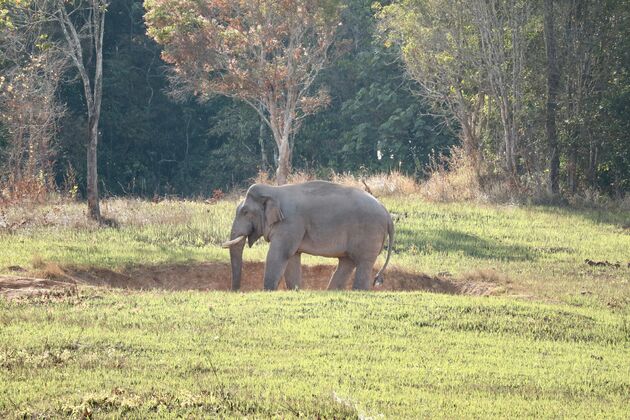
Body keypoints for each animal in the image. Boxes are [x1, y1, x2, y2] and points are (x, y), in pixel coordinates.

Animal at [223, 180, 396, 292]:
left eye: (245, 212)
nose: (236, 291)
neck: (273, 190)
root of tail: (387, 213)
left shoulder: (290, 222)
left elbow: (279, 254)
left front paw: (268, 291)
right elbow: (292, 257)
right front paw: (295, 290)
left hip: (369, 232)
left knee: (363, 262)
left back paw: (358, 291)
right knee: (347, 262)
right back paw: (331, 291)